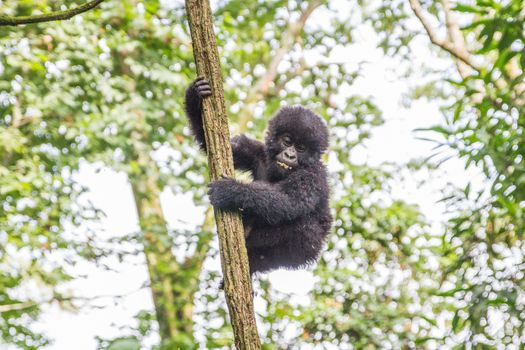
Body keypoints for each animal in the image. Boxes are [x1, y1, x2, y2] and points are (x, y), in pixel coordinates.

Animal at [186, 76, 330, 276]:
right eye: (287, 141)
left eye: (301, 148)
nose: (290, 155)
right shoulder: (257, 152)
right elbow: (216, 144)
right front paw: (195, 94)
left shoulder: (314, 176)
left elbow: (288, 201)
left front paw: (231, 191)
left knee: (305, 228)